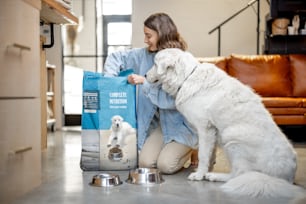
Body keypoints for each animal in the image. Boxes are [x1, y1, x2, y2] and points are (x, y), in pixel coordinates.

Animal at [147, 47, 304, 198]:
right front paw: (204, 170)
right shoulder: (211, 132)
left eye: (155, 64)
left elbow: (203, 155)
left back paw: (216, 176)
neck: (187, 77)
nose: (145, 76)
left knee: (238, 175)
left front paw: (199, 175)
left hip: (231, 136)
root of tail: (285, 178)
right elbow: (209, 154)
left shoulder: (205, 128)